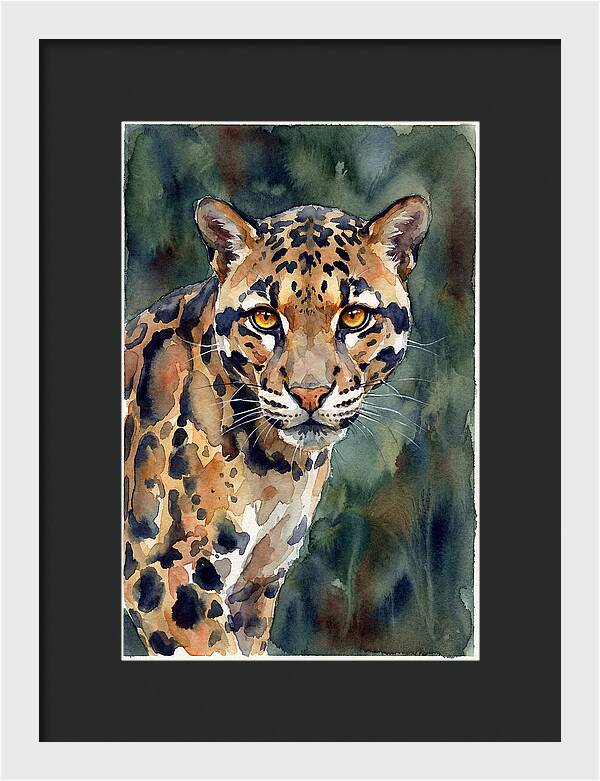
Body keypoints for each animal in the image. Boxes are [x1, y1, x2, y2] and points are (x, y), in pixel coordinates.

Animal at [123, 194, 431, 656]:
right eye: (265, 318)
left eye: (354, 317)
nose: (310, 393)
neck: (277, 467)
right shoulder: (166, 575)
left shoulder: (256, 585)